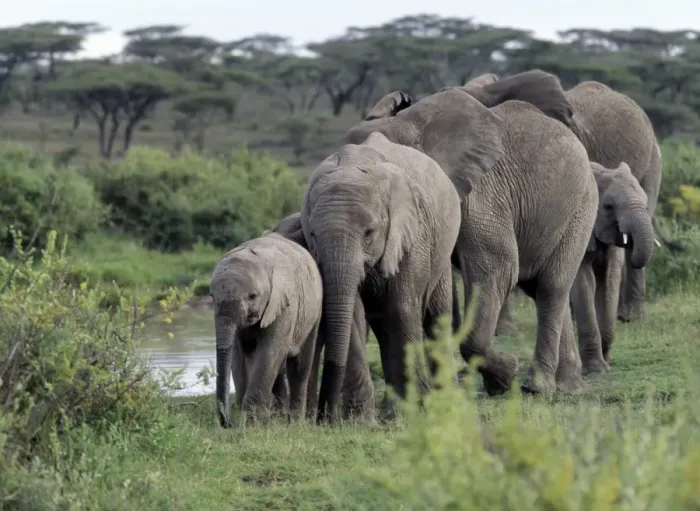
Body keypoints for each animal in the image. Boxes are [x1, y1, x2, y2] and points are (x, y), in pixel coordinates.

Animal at [210, 231, 323, 428]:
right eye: (211, 297)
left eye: (253, 296)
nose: (227, 423)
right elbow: (238, 355)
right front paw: (251, 418)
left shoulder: (285, 303)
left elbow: (270, 350)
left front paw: (251, 421)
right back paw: (278, 417)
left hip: (314, 311)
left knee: (299, 366)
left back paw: (295, 422)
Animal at [301, 131, 461, 422]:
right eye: (314, 235)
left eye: (369, 233)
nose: (322, 416)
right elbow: (353, 313)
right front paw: (360, 420)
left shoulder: (412, 233)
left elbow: (402, 308)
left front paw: (418, 411)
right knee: (383, 327)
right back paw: (393, 410)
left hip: (441, 251)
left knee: (435, 318)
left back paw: (445, 404)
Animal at [345, 69, 599, 396]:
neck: (409, 126)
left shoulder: (482, 192)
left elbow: (496, 267)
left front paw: (504, 377)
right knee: (542, 286)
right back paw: (568, 385)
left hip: (582, 205)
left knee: (552, 285)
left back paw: (537, 387)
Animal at [571, 161, 655, 374]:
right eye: (608, 206)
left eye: (645, 202)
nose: (631, 241)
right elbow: (584, 282)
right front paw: (596, 370)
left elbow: (610, 279)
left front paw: (607, 361)